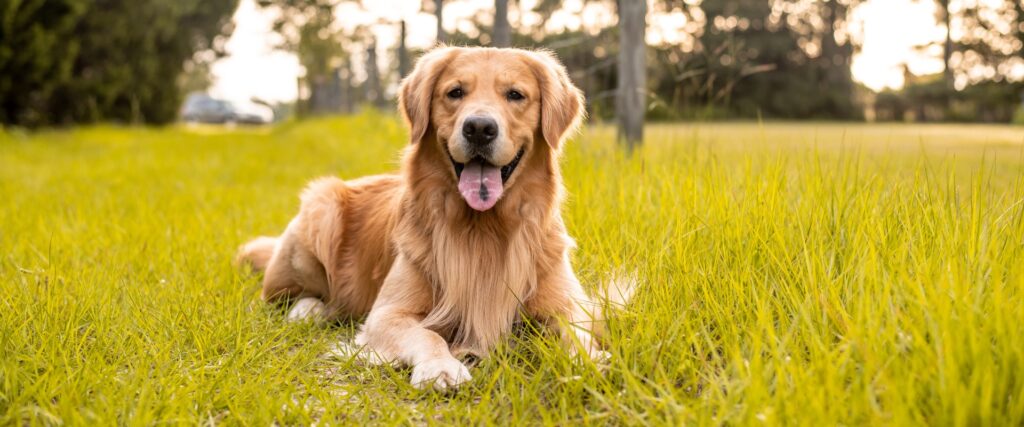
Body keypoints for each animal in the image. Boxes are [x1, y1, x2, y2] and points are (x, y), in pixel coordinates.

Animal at [235, 45, 610, 389]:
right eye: (455, 92)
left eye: (515, 95)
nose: (479, 128)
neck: (483, 229)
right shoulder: (387, 314)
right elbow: (428, 335)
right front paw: (440, 367)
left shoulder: (568, 306)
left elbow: (577, 334)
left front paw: (590, 360)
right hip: (320, 208)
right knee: (284, 297)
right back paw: (309, 310)